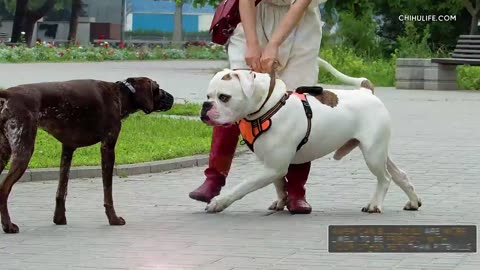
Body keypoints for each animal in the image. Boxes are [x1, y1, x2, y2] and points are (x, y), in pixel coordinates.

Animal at [0, 77, 174, 233]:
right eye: (158, 88)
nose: (172, 97)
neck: (120, 95)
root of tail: (8, 93)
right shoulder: (107, 147)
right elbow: (108, 192)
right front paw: (113, 219)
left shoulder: (67, 149)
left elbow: (61, 191)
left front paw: (59, 219)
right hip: (23, 150)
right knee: (4, 189)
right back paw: (8, 226)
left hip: (5, 153)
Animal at [201, 58, 422, 214]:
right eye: (208, 96)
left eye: (224, 97)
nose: (205, 106)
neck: (267, 107)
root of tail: (366, 91)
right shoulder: (271, 165)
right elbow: (280, 184)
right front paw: (281, 201)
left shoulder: (273, 166)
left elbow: (244, 185)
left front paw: (219, 202)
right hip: (378, 151)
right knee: (399, 174)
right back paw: (413, 201)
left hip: (372, 154)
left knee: (385, 178)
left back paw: (375, 205)